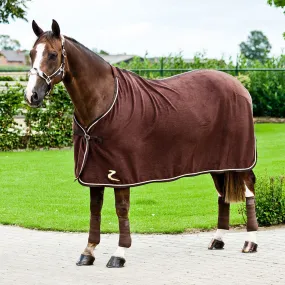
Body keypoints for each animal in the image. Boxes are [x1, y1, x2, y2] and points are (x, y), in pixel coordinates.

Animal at [25, 19, 258, 266]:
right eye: (31, 53)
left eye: (52, 54)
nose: (32, 95)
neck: (104, 99)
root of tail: (239, 86)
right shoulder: (94, 171)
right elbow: (95, 209)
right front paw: (88, 252)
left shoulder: (120, 173)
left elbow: (121, 209)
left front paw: (119, 253)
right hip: (218, 163)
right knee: (222, 195)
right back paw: (218, 240)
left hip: (240, 161)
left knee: (249, 191)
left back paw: (250, 242)